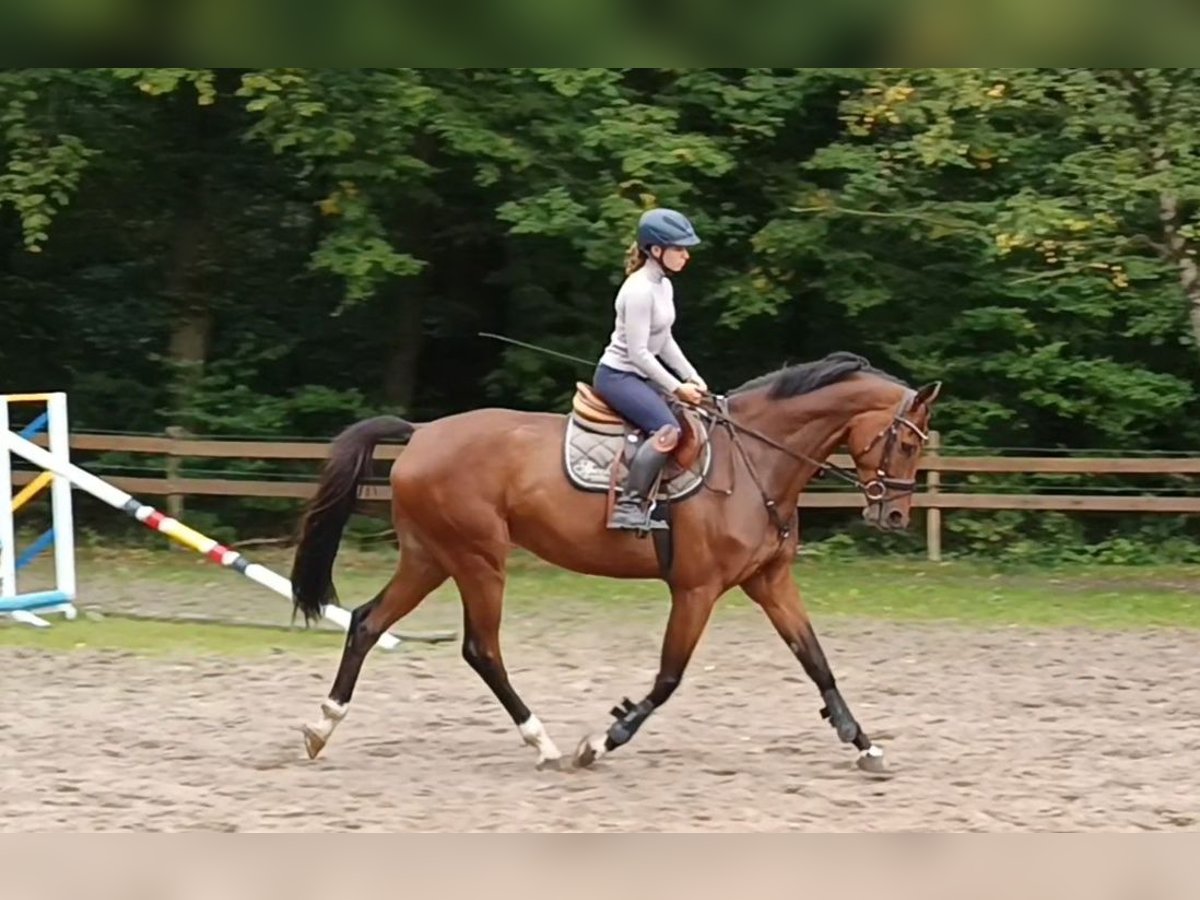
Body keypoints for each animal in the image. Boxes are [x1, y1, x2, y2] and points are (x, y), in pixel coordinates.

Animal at [288, 352, 936, 777]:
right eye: (907, 442)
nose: (896, 515)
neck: (755, 460)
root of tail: (421, 434)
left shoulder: (769, 581)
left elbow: (816, 661)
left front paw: (864, 744)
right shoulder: (696, 590)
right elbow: (669, 677)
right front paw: (603, 740)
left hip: (431, 558)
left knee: (368, 622)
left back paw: (322, 728)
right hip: (477, 559)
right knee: (480, 649)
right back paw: (544, 744)